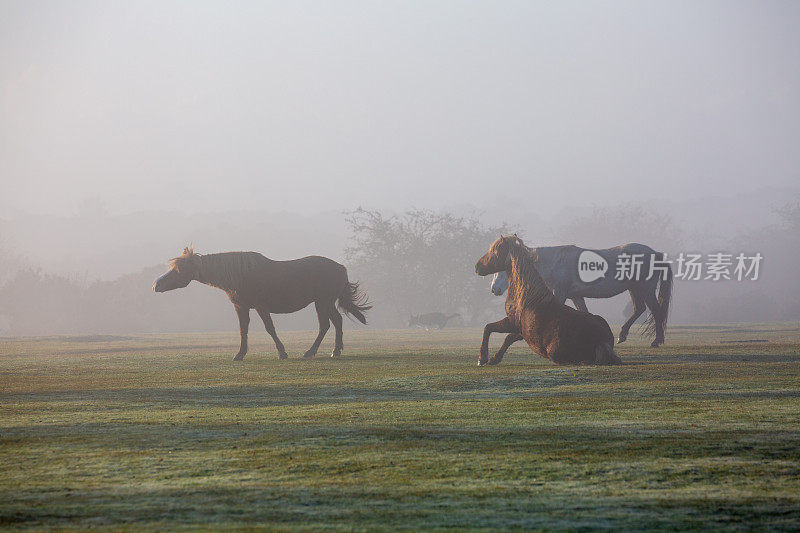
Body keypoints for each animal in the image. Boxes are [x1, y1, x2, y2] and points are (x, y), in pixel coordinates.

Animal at [153, 247, 372, 360]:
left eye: (179, 269)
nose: (157, 284)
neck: (240, 275)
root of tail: (341, 267)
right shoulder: (241, 307)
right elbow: (243, 330)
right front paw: (240, 354)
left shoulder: (260, 306)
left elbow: (270, 328)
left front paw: (282, 352)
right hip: (325, 302)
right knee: (337, 322)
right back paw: (336, 350)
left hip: (322, 302)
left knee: (325, 325)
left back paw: (311, 352)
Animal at [476, 236, 620, 366]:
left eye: (495, 250)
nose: (477, 266)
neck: (528, 296)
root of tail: (601, 341)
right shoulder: (517, 328)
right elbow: (495, 331)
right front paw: (492, 358)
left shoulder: (513, 323)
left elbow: (497, 332)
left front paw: (483, 358)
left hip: (553, 352)